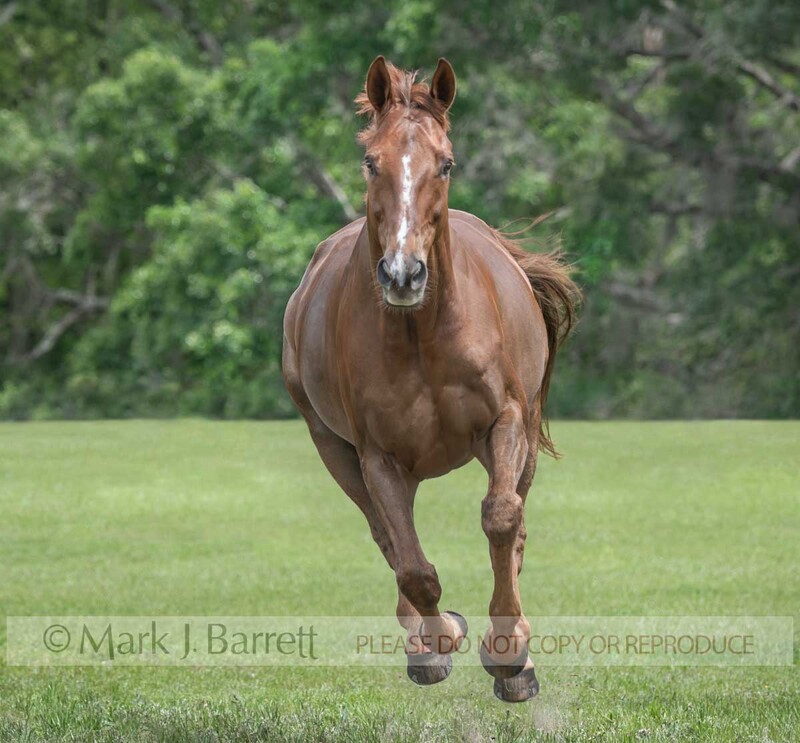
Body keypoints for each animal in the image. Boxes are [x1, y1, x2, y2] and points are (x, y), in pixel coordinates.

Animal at [282, 56, 579, 702]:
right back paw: (423, 642)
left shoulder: (506, 421)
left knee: (514, 524)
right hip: (335, 448)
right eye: (372, 161)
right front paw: (441, 638)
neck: (423, 334)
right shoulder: (377, 456)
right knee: (389, 538)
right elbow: (414, 567)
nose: (402, 274)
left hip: (524, 440)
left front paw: (508, 653)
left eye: (446, 162)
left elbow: (500, 518)